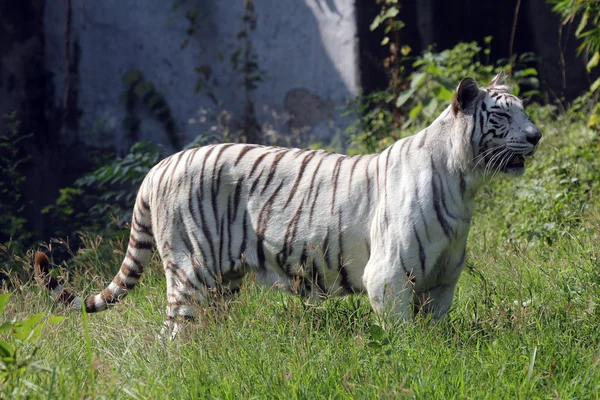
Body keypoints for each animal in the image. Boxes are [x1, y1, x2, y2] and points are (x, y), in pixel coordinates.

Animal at [37, 71, 544, 334]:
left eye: (525, 109)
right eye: (503, 116)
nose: (538, 134)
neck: (465, 183)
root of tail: (157, 168)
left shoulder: (441, 283)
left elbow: (436, 331)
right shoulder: (390, 277)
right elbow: (405, 339)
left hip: (221, 282)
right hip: (188, 272)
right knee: (173, 335)